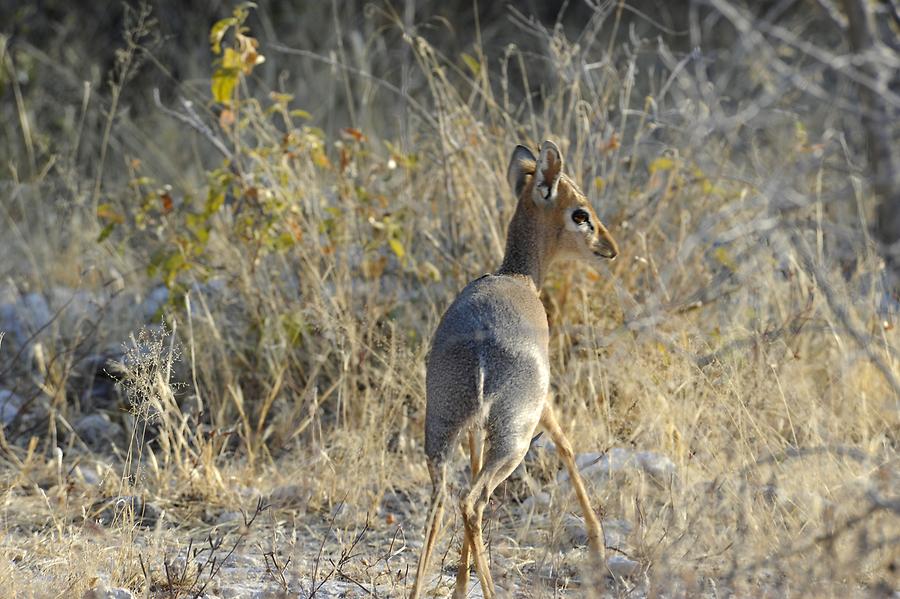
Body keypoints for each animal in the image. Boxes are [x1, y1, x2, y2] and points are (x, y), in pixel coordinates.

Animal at [410, 142, 616, 599]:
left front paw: (460, 583)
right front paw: (597, 545)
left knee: (444, 499)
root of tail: (480, 348)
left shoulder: (473, 431)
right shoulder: (544, 406)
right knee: (472, 500)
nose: (609, 247)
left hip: (443, 428)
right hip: (513, 437)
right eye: (580, 213)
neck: (519, 276)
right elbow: (567, 446)